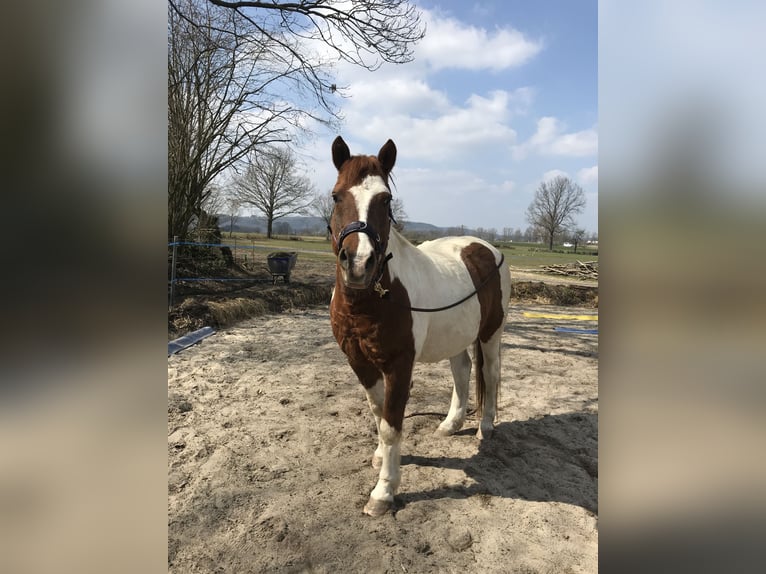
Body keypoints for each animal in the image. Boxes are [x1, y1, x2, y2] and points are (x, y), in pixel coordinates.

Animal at [328, 137, 512, 520]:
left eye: (385, 199)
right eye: (336, 196)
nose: (359, 264)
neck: (374, 297)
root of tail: (486, 248)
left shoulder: (400, 365)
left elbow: (391, 424)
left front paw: (384, 492)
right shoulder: (359, 362)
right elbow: (378, 414)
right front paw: (381, 458)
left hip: (491, 334)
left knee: (490, 373)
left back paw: (485, 427)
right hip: (456, 336)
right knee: (462, 371)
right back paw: (450, 424)